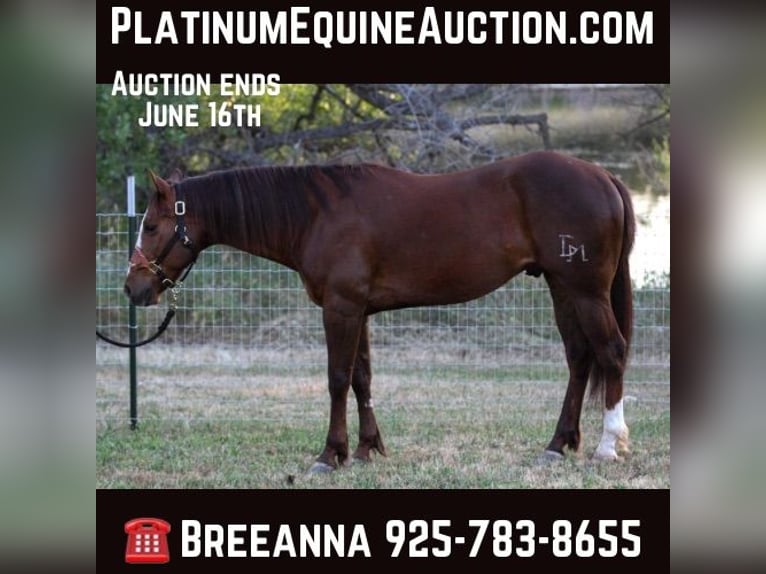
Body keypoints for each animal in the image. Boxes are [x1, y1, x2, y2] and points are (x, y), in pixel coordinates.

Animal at [124, 151, 635, 473]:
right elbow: (361, 379)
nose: (133, 288)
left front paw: (330, 455)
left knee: (611, 352)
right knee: (579, 358)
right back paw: (558, 445)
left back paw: (609, 446)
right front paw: (368, 448)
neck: (317, 214)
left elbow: (336, 379)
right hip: (562, 288)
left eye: (150, 226)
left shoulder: (341, 309)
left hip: (586, 290)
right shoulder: (359, 310)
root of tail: (602, 175)